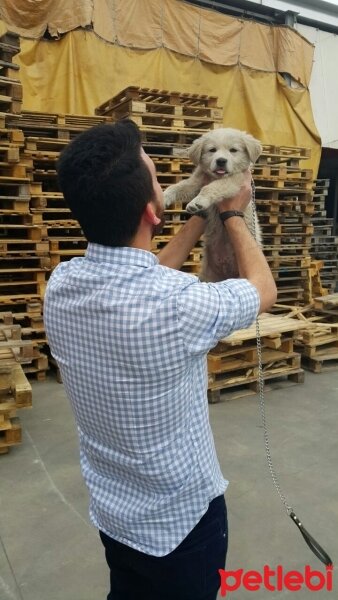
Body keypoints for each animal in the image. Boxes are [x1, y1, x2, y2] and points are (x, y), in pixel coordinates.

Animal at [163, 127, 262, 282]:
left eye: (233, 150)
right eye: (212, 150)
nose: (221, 161)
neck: (216, 176)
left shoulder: (234, 181)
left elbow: (210, 187)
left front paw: (197, 202)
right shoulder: (195, 182)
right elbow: (177, 186)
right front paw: (162, 197)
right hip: (208, 275)